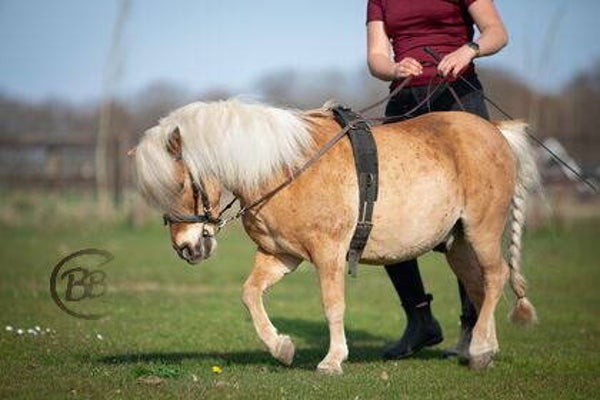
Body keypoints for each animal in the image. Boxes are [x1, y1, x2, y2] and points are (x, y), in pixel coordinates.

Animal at [132, 98, 540, 374]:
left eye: (180, 184)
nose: (186, 248)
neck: (285, 168)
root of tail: (495, 131)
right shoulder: (282, 255)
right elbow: (249, 294)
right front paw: (281, 347)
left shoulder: (328, 253)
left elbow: (333, 305)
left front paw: (332, 359)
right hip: (457, 244)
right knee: (479, 286)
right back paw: (482, 348)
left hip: (482, 231)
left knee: (496, 276)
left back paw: (482, 349)